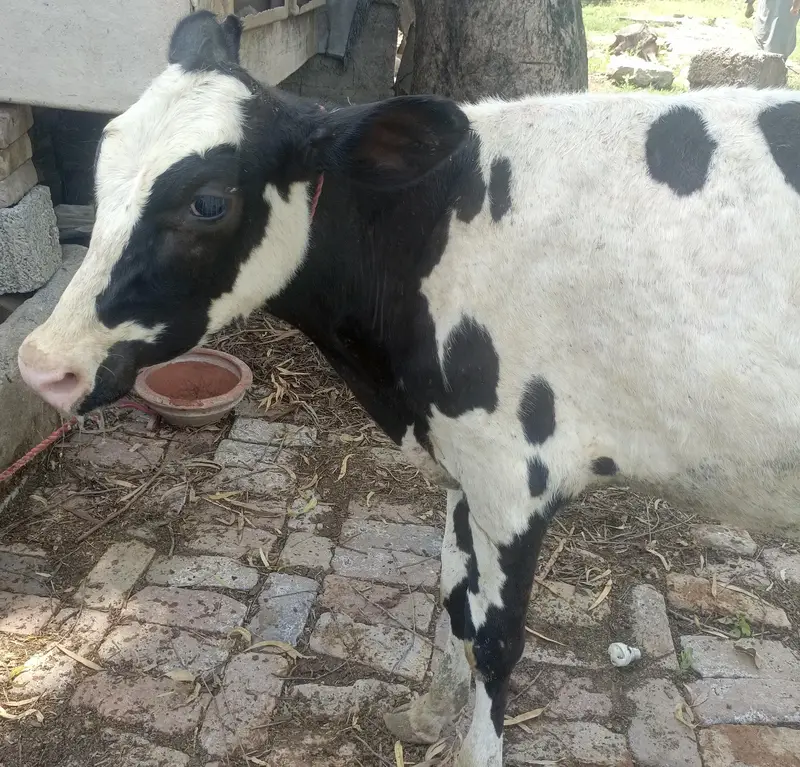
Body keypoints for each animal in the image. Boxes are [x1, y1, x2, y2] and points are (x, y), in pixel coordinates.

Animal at [16, 10, 800, 766]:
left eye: (208, 202)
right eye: (100, 164)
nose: (42, 364)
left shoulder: (517, 473)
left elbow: (497, 639)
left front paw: (476, 751)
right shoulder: (461, 454)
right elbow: (452, 595)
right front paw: (428, 713)